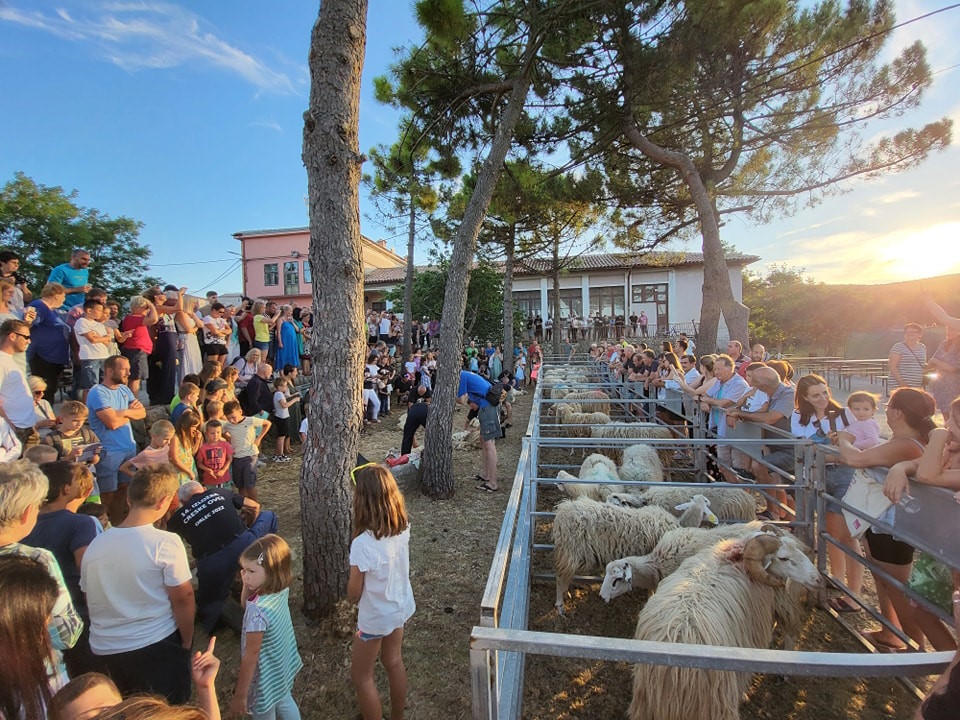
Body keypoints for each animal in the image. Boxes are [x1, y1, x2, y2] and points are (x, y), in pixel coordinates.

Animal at [552, 496, 716, 612]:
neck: (681, 524)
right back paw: (560, 604)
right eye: (707, 504)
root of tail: (562, 511)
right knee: (560, 578)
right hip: (571, 551)